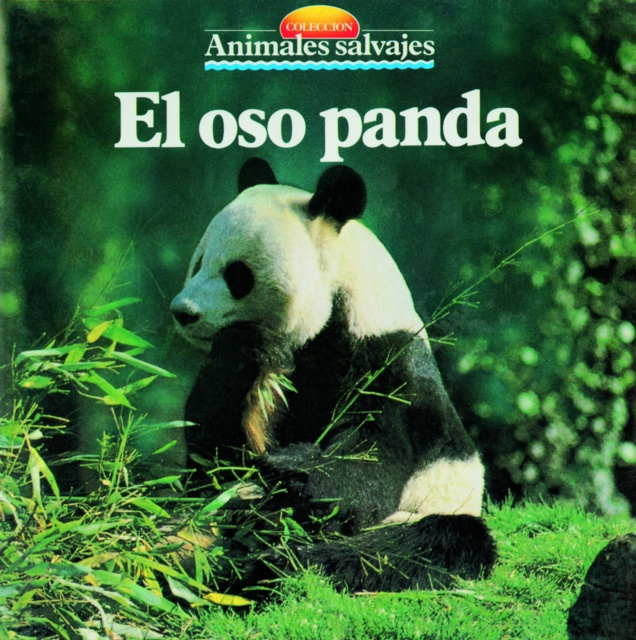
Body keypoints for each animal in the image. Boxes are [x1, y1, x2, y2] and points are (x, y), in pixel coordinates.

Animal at [170, 158, 496, 593]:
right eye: (198, 261)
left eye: (237, 275)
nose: (183, 312)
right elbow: (217, 456)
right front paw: (248, 348)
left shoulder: (390, 367)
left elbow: (370, 464)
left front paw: (293, 469)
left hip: (432, 509)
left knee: (420, 544)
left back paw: (270, 559)